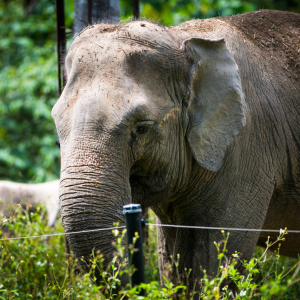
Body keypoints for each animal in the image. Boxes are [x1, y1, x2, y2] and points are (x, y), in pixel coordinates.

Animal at [52, 9, 300, 286]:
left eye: (142, 129)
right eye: (58, 137)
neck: (181, 39)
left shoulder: (248, 149)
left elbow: (217, 260)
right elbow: (172, 260)